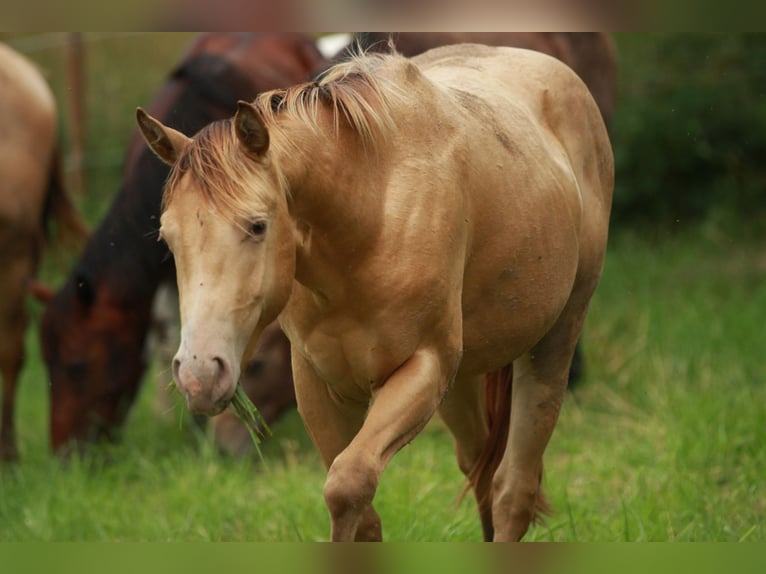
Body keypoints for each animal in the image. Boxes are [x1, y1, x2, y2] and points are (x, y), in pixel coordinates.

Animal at [140, 42, 616, 544]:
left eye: (257, 225)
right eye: (168, 238)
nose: (199, 375)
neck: (369, 216)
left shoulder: (422, 369)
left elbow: (348, 485)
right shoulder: (318, 384)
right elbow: (361, 511)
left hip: (552, 346)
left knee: (512, 490)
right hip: (465, 378)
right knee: (480, 468)